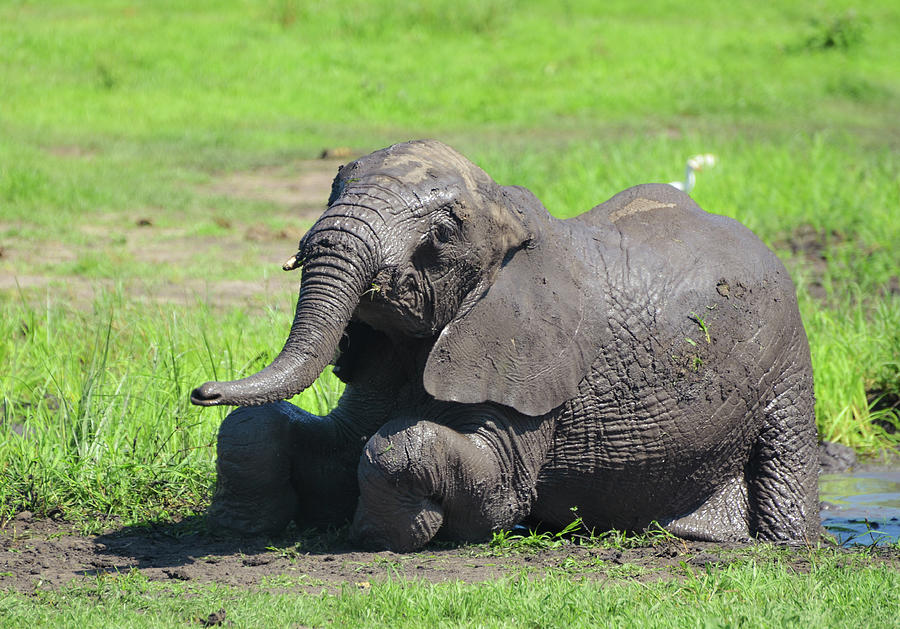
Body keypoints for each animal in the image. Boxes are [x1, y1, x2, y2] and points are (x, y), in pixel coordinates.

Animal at [193, 139, 820, 548]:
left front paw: (387, 534)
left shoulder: (529, 367)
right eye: (331, 186)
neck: (506, 216)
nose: (202, 391)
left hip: (786, 362)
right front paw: (241, 526)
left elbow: (474, 479)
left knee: (785, 462)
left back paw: (787, 546)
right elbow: (286, 434)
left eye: (442, 234)